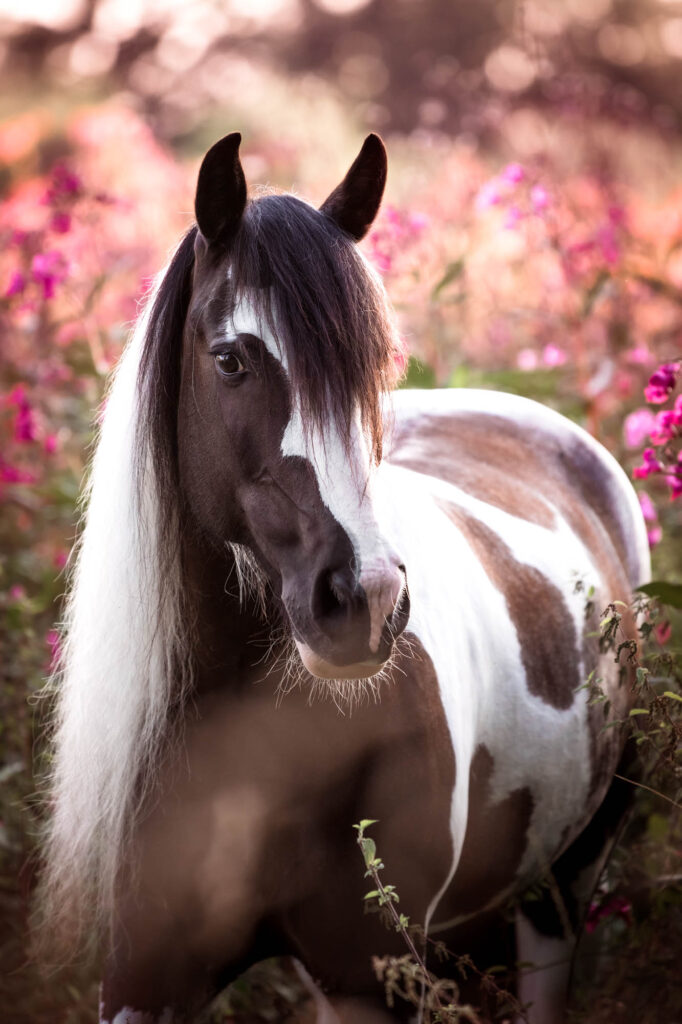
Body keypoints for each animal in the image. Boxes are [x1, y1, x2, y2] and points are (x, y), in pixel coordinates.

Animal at [42, 132, 650, 1024]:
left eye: (375, 365)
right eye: (230, 359)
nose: (365, 602)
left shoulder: (367, 977)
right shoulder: (142, 980)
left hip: (563, 884)